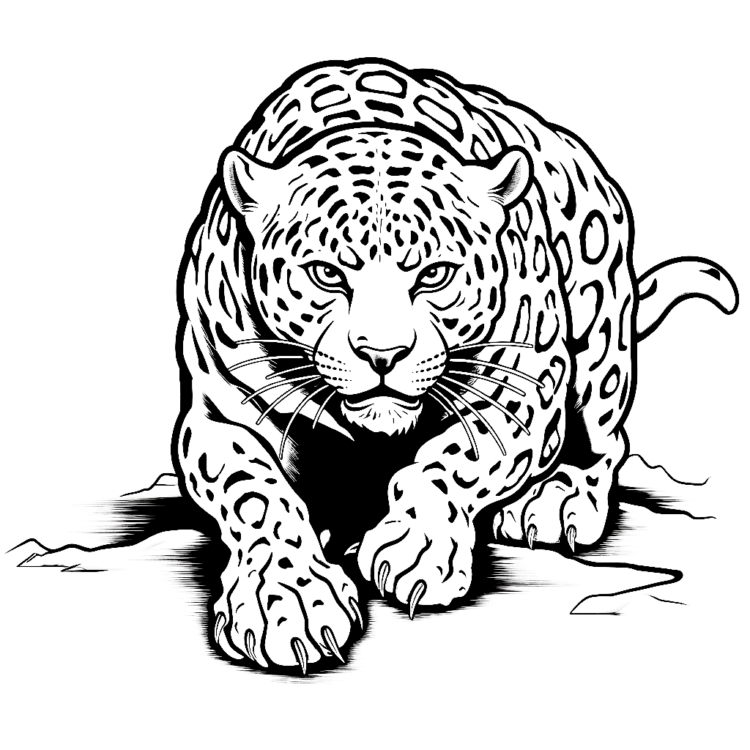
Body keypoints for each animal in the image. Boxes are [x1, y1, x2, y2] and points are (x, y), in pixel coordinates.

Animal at [173, 58, 738, 673]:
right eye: (327, 273)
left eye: (435, 275)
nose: (382, 354)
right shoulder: (219, 415)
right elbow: (253, 491)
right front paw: (287, 598)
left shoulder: (526, 387)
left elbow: (453, 460)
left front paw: (414, 548)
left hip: (598, 340)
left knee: (606, 440)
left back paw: (556, 501)